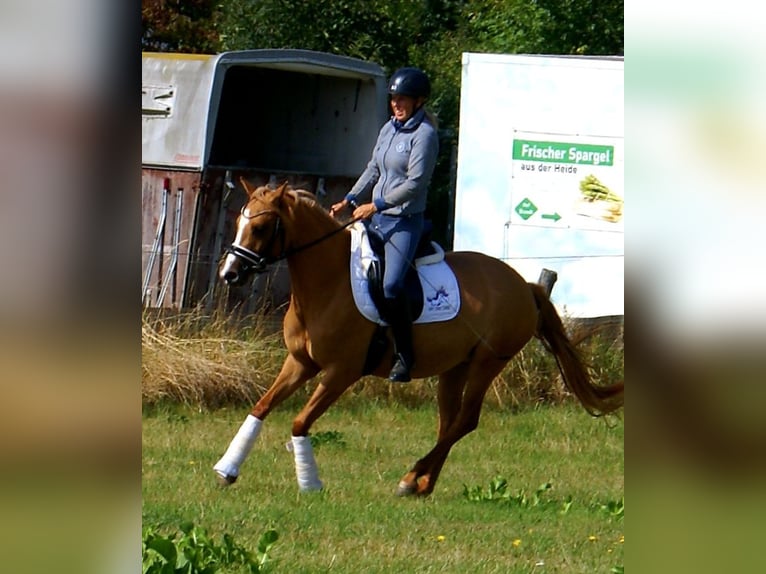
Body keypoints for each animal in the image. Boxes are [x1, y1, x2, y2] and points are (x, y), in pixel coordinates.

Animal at [213, 180, 623, 496]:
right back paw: (423, 484)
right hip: (456, 367)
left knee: (466, 420)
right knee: (449, 421)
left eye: (261, 228)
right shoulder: (300, 363)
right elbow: (261, 407)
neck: (328, 283)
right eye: (237, 221)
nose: (229, 274)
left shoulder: (341, 372)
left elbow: (299, 422)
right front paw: (226, 470)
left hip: (487, 363)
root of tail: (523, 285)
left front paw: (310, 484)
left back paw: (411, 479)